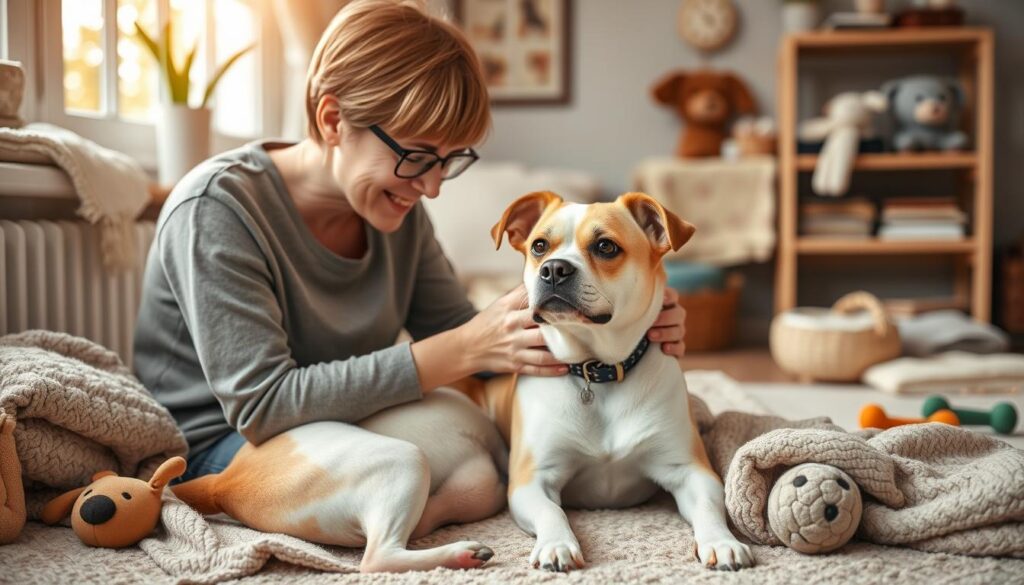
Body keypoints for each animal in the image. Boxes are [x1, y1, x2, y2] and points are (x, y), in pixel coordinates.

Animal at [462, 191, 753, 573]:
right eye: (539, 245)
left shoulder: (690, 471)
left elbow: (708, 508)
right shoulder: (531, 479)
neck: (596, 372)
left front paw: (723, 542)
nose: (554, 268)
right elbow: (551, 511)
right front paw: (557, 545)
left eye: (605, 246)